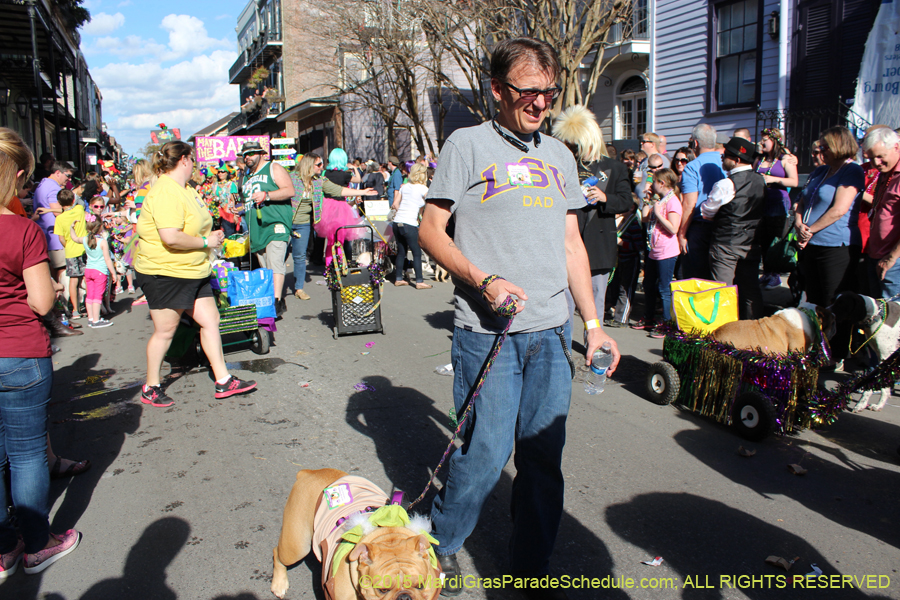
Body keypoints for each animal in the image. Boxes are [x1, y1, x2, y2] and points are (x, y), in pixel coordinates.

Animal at [272, 468, 444, 600]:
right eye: (383, 590)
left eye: (420, 585)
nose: (404, 597)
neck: (388, 535)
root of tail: (309, 473)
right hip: (296, 547)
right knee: (278, 554)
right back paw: (279, 584)